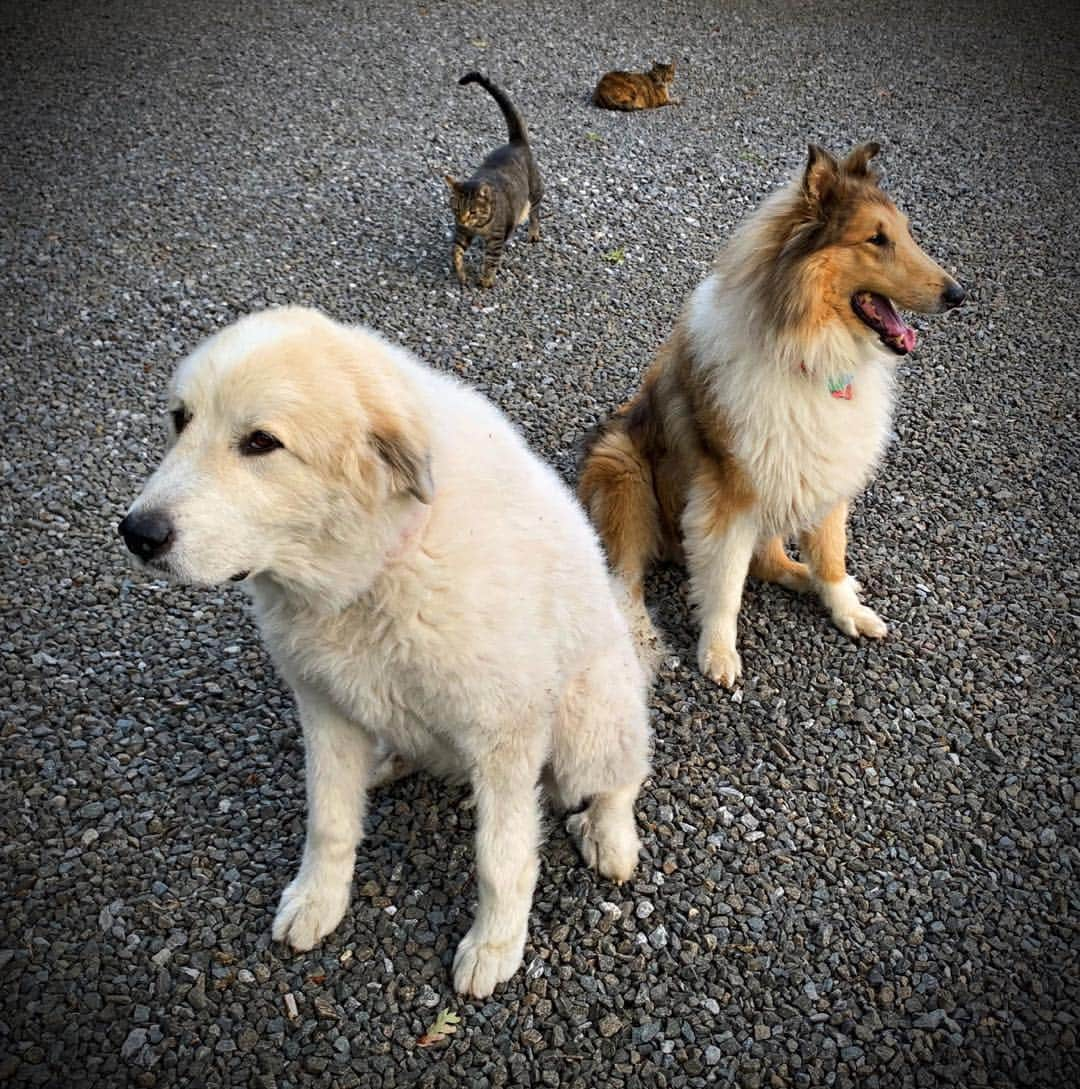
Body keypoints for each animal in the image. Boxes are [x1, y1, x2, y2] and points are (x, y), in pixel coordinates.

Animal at [123, 304, 653, 997]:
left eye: (261, 443)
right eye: (180, 420)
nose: (136, 533)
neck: (379, 566)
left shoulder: (505, 738)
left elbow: (502, 859)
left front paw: (494, 946)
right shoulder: (322, 708)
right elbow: (328, 821)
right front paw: (318, 900)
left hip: (587, 721)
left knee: (624, 775)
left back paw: (609, 837)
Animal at [444, 74, 544, 291]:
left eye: (472, 211)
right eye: (457, 209)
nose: (462, 219)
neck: (479, 226)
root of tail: (516, 142)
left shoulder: (497, 237)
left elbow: (491, 260)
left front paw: (486, 280)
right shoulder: (462, 232)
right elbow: (456, 252)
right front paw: (461, 273)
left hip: (535, 190)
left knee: (535, 213)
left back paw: (533, 232)